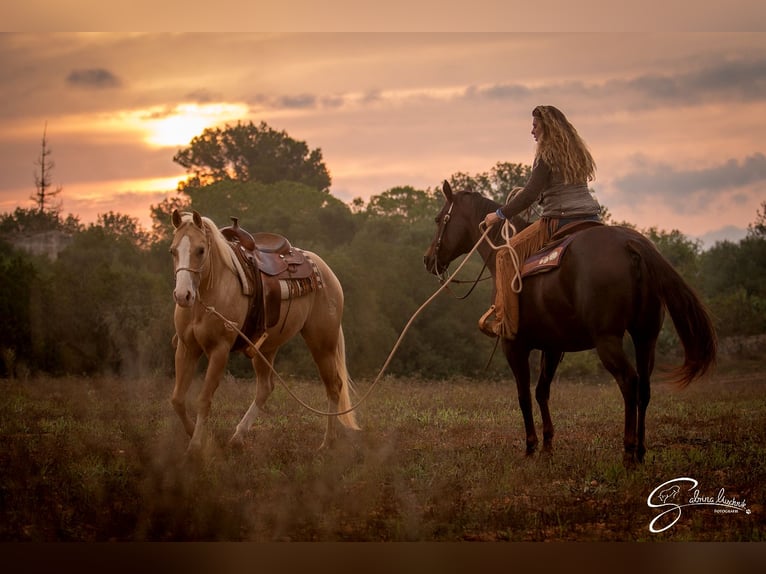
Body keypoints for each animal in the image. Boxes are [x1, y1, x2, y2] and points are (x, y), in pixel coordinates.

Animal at [169, 209, 359, 453]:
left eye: (201, 250)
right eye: (173, 250)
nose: (183, 295)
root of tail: (325, 271)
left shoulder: (219, 351)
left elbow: (204, 399)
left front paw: (195, 446)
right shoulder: (186, 348)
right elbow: (177, 399)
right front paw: (200, 435)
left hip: (322, 343)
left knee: (334, 386)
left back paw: (327, 443)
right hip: (266, 348)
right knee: (265, 388)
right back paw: (237, 437)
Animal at [423, 182, 717, 465]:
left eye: (439, 219)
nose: (428, 260)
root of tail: (631, 244)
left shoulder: (514, 344)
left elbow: (524, 395)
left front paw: (530, 447)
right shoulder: (552, 347)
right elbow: (542, 391)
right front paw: (547, 446)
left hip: (608, 339)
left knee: (628, 382)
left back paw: (628, 452)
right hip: (646, 336)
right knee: (644, 386)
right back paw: (642, 452)